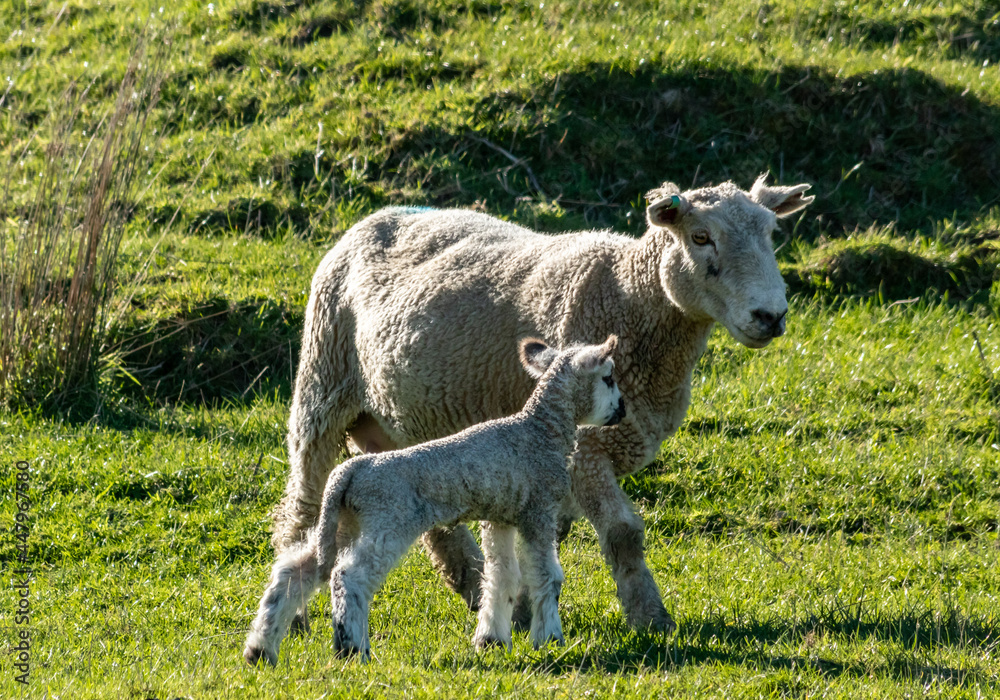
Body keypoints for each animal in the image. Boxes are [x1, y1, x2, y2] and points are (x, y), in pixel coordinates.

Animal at [244, 336, 625, 665]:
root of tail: (350, 470)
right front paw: (550, 639)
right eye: (608, 378)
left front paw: (491, 640)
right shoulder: (540, 508)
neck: (541, 430)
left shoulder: (500, 514)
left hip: (344, 521)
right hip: (389, 518)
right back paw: (352, 649)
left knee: (296, 569)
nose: (621, 411)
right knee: (348, 575)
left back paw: (260, 650)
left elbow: (502, 575)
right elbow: (547, 576)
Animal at [271, 175, 814, 635]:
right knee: (302, 507)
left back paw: (476, 587)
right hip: (323, 382)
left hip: (401, 423)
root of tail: (374, 217)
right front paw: (650, 617)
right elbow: (623, 533)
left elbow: (548, 536)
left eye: (771, 234)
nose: (770, 316)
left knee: (434, 523)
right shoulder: (586, 450)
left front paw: (524, 607)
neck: (633, 299)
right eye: (701, 237)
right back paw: (293, 615)